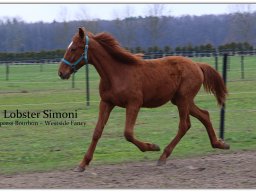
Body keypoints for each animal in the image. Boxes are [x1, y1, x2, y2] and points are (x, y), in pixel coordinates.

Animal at [58, 27, 230, 172]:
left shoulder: (134, 103)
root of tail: (197, 64)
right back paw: (220, 143)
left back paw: (163, 156)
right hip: (182, 100)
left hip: (183, 99)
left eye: (73, 48)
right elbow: (97, 132)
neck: (117, 73)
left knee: (184, 125)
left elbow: (128, 133)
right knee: (204, 115)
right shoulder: (106, 103)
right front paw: (82, 164)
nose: (61, 72)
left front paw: (152, 146)